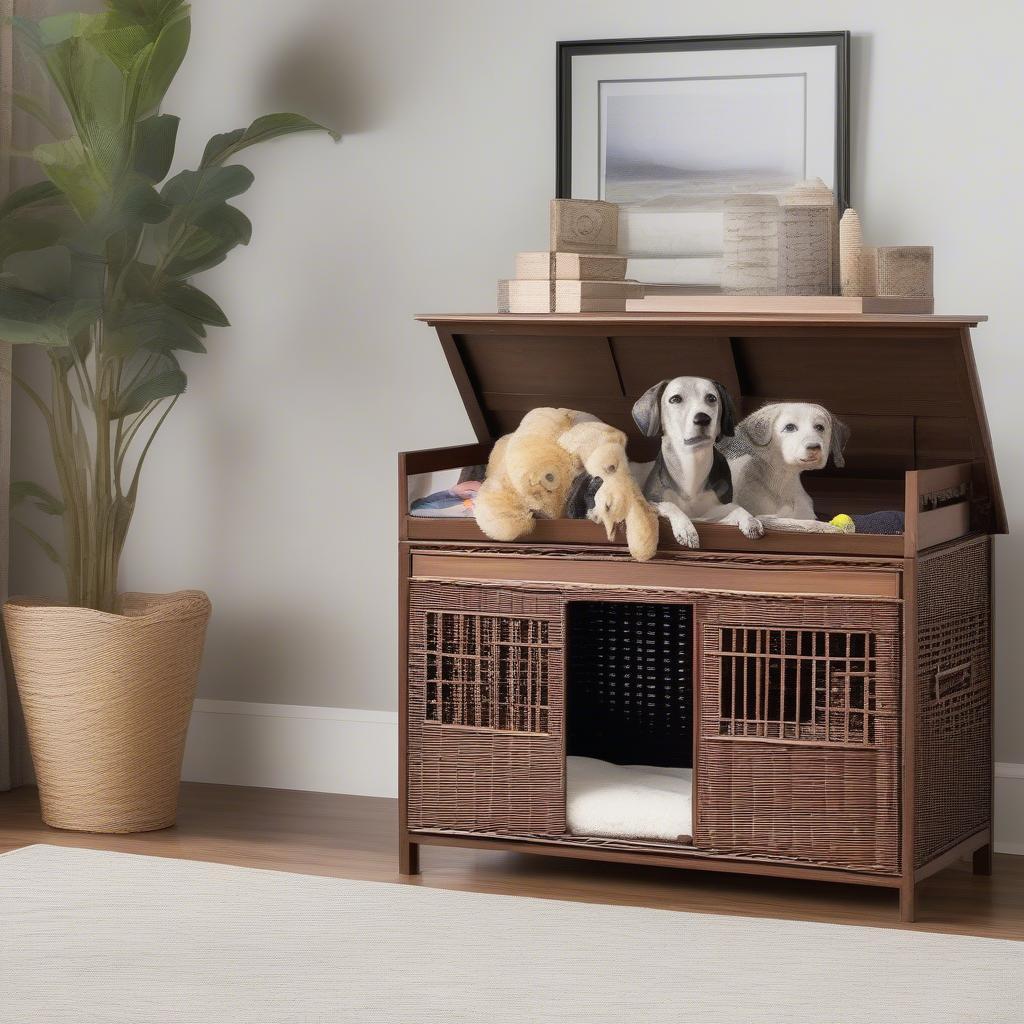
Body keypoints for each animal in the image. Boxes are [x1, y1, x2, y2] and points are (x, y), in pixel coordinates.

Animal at [634, 378, 765, 552]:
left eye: (711, 398)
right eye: (675, 399)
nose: (703, 418)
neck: (691, 465)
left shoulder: (710, 511)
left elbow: (735, 507)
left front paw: (750, 521)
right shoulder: (652, 501)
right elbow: (671, 505)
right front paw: (686, 530)